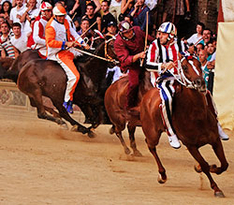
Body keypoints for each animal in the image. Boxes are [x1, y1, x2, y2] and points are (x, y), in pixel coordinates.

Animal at [140, 55, 228, 197]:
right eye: (185, 67)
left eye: (199, 64)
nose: (200, 83)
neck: (196, 114)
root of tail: (147, 95)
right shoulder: (191, 145)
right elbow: (204, 165)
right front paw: (216, 188)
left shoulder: (215, 139)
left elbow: (224, 164)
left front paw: (211, 168)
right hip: (152, 133)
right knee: (150, 146)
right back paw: (162, 175)